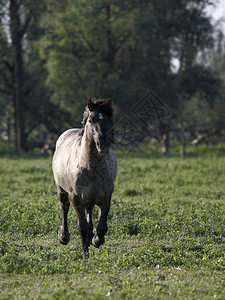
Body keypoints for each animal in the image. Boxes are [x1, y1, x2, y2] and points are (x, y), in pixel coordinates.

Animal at [52, 98, 117, 253]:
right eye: (91, 120)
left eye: (110, 120)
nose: (103, 144)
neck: (92, 168)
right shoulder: (76, 198)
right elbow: (82, 225)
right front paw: (84, 253)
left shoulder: (106, 197)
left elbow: (102, 226)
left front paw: (96, 240)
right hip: (61, 189)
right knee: (64, 208)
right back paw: (64, 237)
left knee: (90, 212)